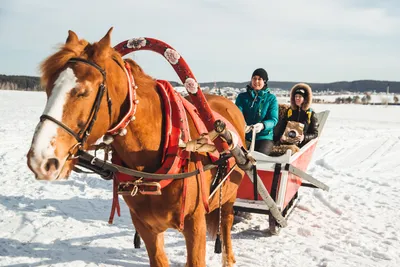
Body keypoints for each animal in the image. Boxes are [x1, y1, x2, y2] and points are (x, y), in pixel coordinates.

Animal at [26, 28, 245, 266]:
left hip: (229, 198)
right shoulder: (146, 226)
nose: (40, 160)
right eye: (47, 89)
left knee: (226, 225)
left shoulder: (194, 224)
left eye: (83, 92)